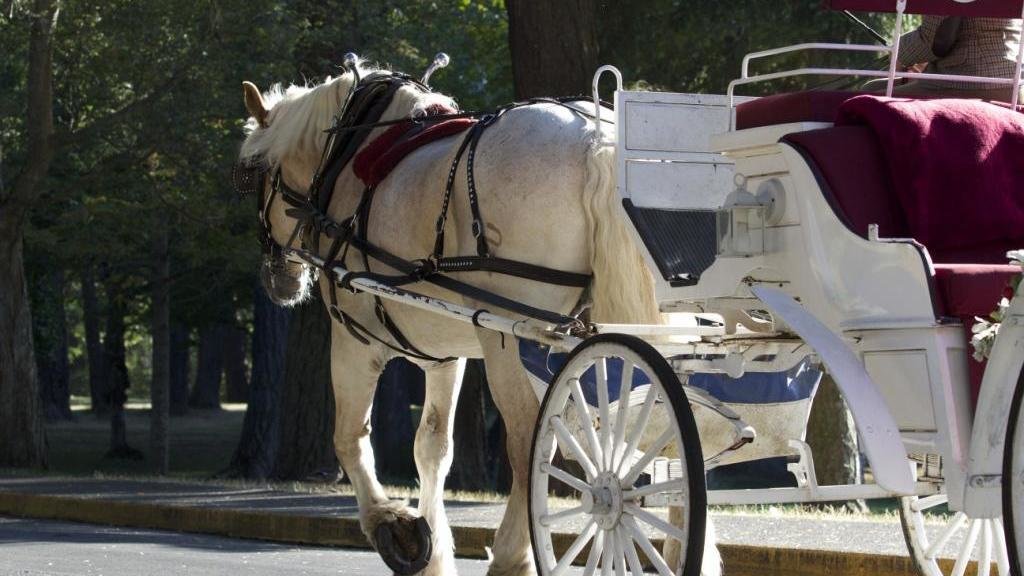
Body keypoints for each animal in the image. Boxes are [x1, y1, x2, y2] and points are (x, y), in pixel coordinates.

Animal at [238, 64, 721, 576]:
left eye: (253, 173)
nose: (277, 280)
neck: (349, 157)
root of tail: (598, 138)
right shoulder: (443, 357)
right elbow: (431, 448)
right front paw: (434, 552)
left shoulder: (356, 341)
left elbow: (349, 437)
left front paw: (394, 525)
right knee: (669, 419)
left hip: (511, 337)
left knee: (531, 440)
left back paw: (513, 554)